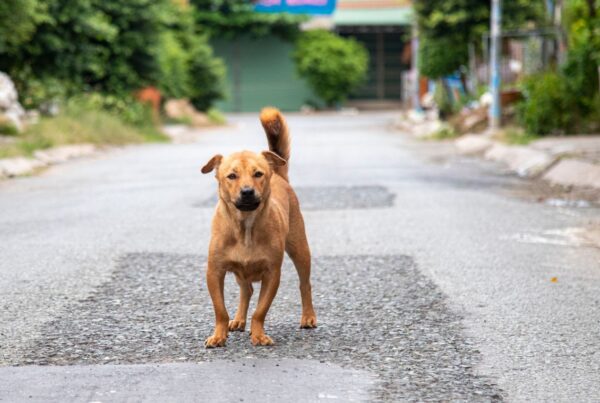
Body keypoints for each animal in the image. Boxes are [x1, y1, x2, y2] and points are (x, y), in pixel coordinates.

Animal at [200, 109, 316, 348]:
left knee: (305, 284)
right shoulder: (214, 272)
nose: (247, 192)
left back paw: (308, 316)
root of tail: (279, 176)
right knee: (247, 290)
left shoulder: (272, 274)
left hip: (300, 250)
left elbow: (261, 311)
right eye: (231, 176)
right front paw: (219, 335)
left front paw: (258, 334)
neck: (245, 226)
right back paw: (238, 319)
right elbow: (220, 310)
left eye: (258, 174)